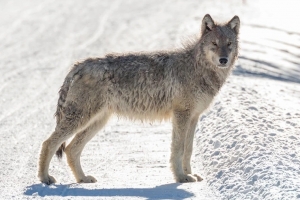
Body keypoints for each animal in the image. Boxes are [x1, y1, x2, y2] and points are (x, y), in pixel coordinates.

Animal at [37, 14, 240, 184]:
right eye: (214, 44)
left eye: (229, 43)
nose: (223, 60)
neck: (199, 68)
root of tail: (78, 65)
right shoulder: (181, 115)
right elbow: (178, 149)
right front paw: (181, 177)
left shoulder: (194, 117)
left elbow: (188, 149)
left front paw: (189, 174)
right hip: (80, 120)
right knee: (49, 143)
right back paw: (45, 178)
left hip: (96, 122)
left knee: (71, 149)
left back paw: (83, 179)